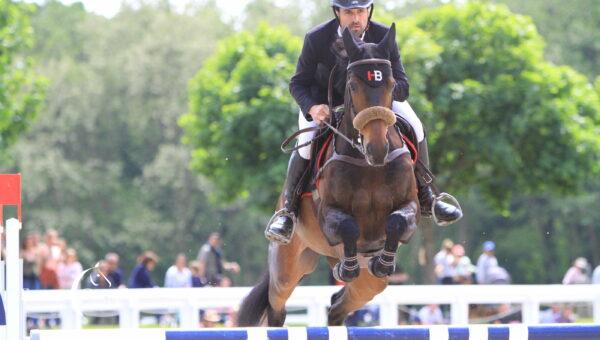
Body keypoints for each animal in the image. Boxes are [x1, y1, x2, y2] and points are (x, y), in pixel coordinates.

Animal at [237, 23, 420, 326]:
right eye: (353, 85)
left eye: (392, 84)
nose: (377, 149)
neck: (369, 165)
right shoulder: (327, 214)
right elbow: (348, 226)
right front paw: (347, 267)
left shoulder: (410, 205)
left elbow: (396, 221)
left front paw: (382, 261)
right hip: (288, 265)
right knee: (276, 304)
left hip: (370, 285)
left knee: (338, 306)